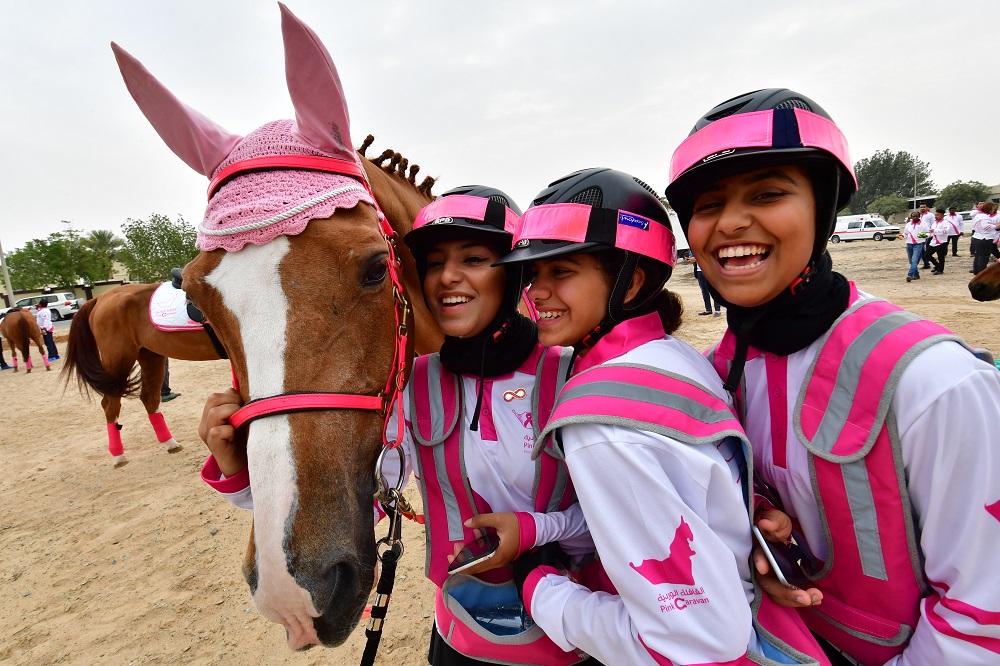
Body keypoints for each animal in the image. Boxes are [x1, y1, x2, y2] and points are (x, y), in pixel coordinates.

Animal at [62, 282, 223, 464]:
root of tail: (100, 298)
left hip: (151, 356)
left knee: (148, 397)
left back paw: (170, 442)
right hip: (118, 361)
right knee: (110, 404)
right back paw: (118, 455)